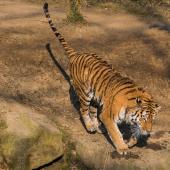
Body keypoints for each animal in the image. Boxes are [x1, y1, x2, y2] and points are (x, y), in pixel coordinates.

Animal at [42, 1, 161, 155]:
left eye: (153, 119)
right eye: (145, 118)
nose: (148, 132)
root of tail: (76, 54)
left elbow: (134, 131)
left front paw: (131, 141)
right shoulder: (108, 116)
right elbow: (115, 133)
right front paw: (122, 147)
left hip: (95, 97)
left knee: (92, 112)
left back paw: (98, 126)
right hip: (85, 93)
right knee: (83, 110)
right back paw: (90, 127)